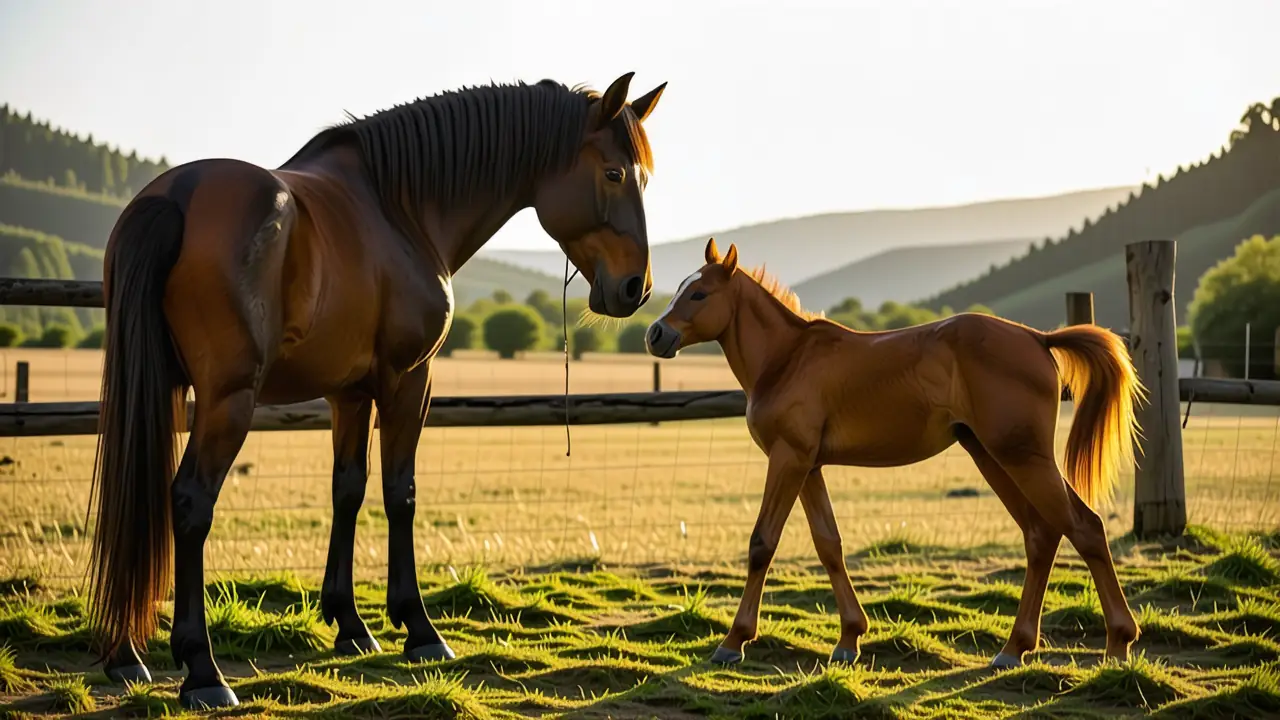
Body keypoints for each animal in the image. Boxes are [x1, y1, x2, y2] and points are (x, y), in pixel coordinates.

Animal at [84, 72, 667, 710]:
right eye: (614, 173)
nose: (636, 289)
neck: (399, 208)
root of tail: (174, 197)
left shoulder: (349, 394)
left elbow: (348, 489)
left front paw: (350, 625)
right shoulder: (409, 379)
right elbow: (399, 491)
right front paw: (419, 630)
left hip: (159, 390)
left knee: (135, 490)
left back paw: (126, 657)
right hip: (227, 401)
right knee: (190, 502)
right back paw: (203, 673)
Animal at [645, 238, 1146, 669]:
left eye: (699, 293)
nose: (654, 334)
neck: (787, 359)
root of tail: (1040, 339)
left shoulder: (787, 460)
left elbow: (762, 543)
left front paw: (733, 641)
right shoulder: (809, 466)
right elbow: (829, 545)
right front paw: (849, 639)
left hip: (1023, 456)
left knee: (1084, 527)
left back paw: (1117, 643)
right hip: (992, 455)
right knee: (1042, 535)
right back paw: (1014, 648)